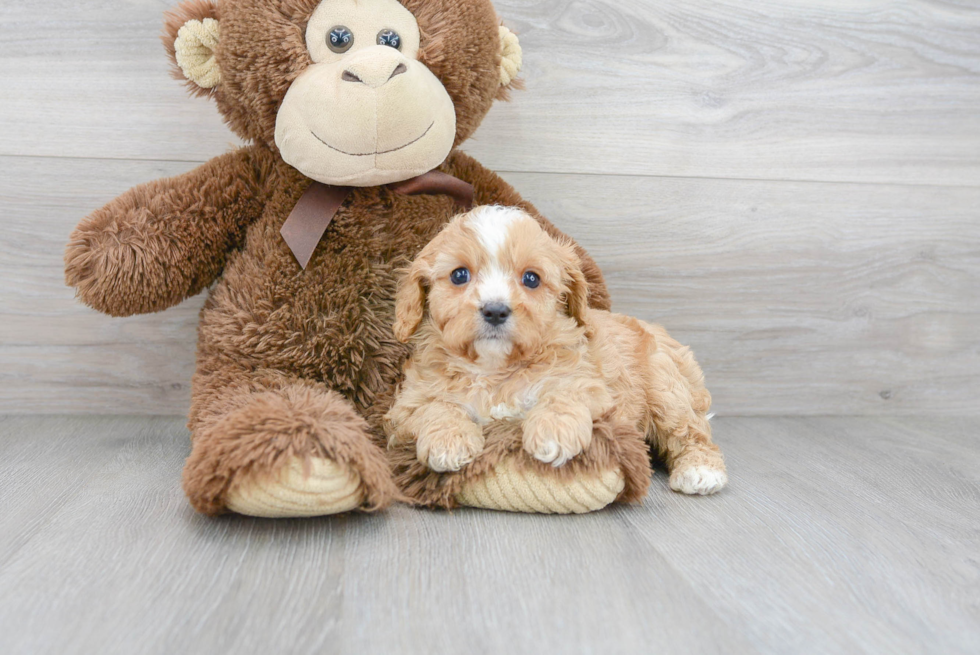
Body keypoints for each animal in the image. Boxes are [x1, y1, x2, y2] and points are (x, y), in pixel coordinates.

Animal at [382, 208, 728, 494]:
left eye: (531, 279)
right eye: (459, 275)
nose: (495, 310)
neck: (496, 368)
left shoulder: (589, 384)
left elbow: (564, 394)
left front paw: (554, 432)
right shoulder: (407, 406)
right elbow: (436, 407)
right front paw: (448, 441)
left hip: (666, 389)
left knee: (692, 432)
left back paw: (700, 470)